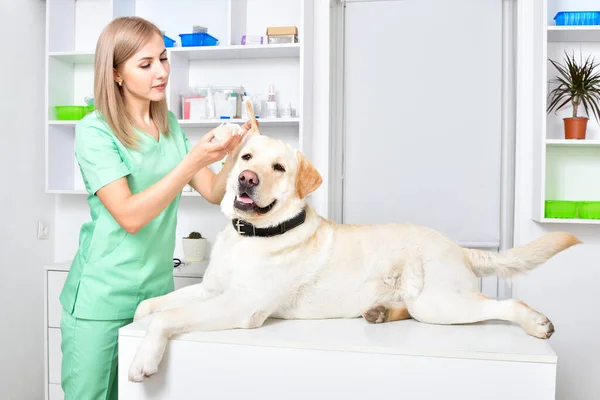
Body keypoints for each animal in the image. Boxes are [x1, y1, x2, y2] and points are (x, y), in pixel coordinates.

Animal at [127, 128, 580, 382]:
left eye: (279, 168)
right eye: (246, 157)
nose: (246, 179)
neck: (251, 236)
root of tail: (457, 247)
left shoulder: (241, 306)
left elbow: (166, 317)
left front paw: (143, 358)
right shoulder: (210, 291)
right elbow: (149, 307)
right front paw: (134, 325)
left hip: (439, 302)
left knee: (503, 305)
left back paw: (537, 323)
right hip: (425, 301)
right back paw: (379, 312)